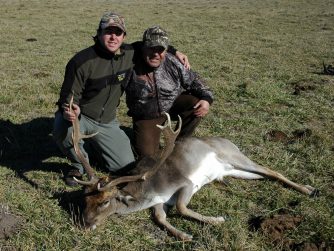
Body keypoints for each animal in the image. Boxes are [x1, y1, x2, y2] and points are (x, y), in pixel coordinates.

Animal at [70, 99, 316, 240]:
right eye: (84, 200)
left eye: (104, 202)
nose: (84, 225)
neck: (147, 191)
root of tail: (229, 141)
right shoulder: (159, 200)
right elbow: (160, 217)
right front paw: (185, 235)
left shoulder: (185, 183)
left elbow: (181, 207)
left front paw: (218, 219)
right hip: (233, 170)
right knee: (263, 175)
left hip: (235, 157)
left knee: (272, 171)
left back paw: (310, 190)